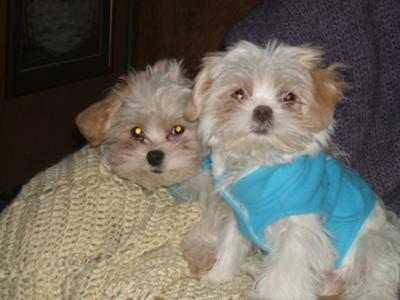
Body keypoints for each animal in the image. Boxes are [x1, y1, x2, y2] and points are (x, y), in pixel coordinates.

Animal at [184, 40, 400, 300]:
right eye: (238, 94)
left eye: (289, 97)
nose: (262, 110)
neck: (260, 165)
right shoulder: (238, 217)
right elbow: (231, 245)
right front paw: (219, 277)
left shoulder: (299, 233)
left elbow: (281, 277)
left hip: (375, 243)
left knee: (377, 284)